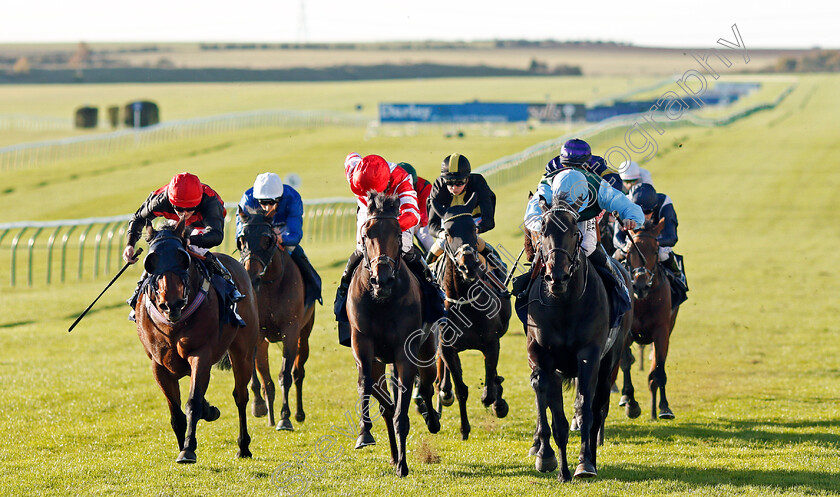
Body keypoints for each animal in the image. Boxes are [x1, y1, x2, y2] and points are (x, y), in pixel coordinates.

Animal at [135, 219, 260, 464]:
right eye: (151, 261)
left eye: (183, 258)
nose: (171, 304)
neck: (173, 325)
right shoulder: (158, 366)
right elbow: (176, 413)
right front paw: (182, 443)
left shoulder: (200, 354)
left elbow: (192, 401)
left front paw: (188, 448)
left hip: (242, 350)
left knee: (240, 395)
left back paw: (243, 446)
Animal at [236, 209, 316, 430]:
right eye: (242, 239)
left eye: (267, 239)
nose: (250, 275)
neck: (270, 285)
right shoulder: (258, 334)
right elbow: (262, 378)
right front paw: (260, 407)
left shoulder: (291, 331)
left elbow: (285, 375)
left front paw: (285, 417)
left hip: (304, 335)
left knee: (298, 372)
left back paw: (298, 413)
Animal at [346, 191, 440, 476]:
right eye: (366, 234)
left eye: (398, 233)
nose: (383, 279)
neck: (382, 301)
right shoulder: (362, 345)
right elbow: (366, 384)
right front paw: (364, 433)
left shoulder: (404, 352)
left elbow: (403, 408)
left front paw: (403, 465)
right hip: (380, 362)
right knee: (386, 401)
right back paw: (392, 452)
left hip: (427, 351)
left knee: (427, 384)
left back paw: (432, 420)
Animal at [434, 203, 512, 440]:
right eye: (447, 233)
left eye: (474, 229)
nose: (468, 265)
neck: (464, 301)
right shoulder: (448, 346)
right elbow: (461, 389)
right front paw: (464, 428)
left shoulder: (492, 343)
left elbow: (489, 386)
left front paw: (497, 401)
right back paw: (443, 390)